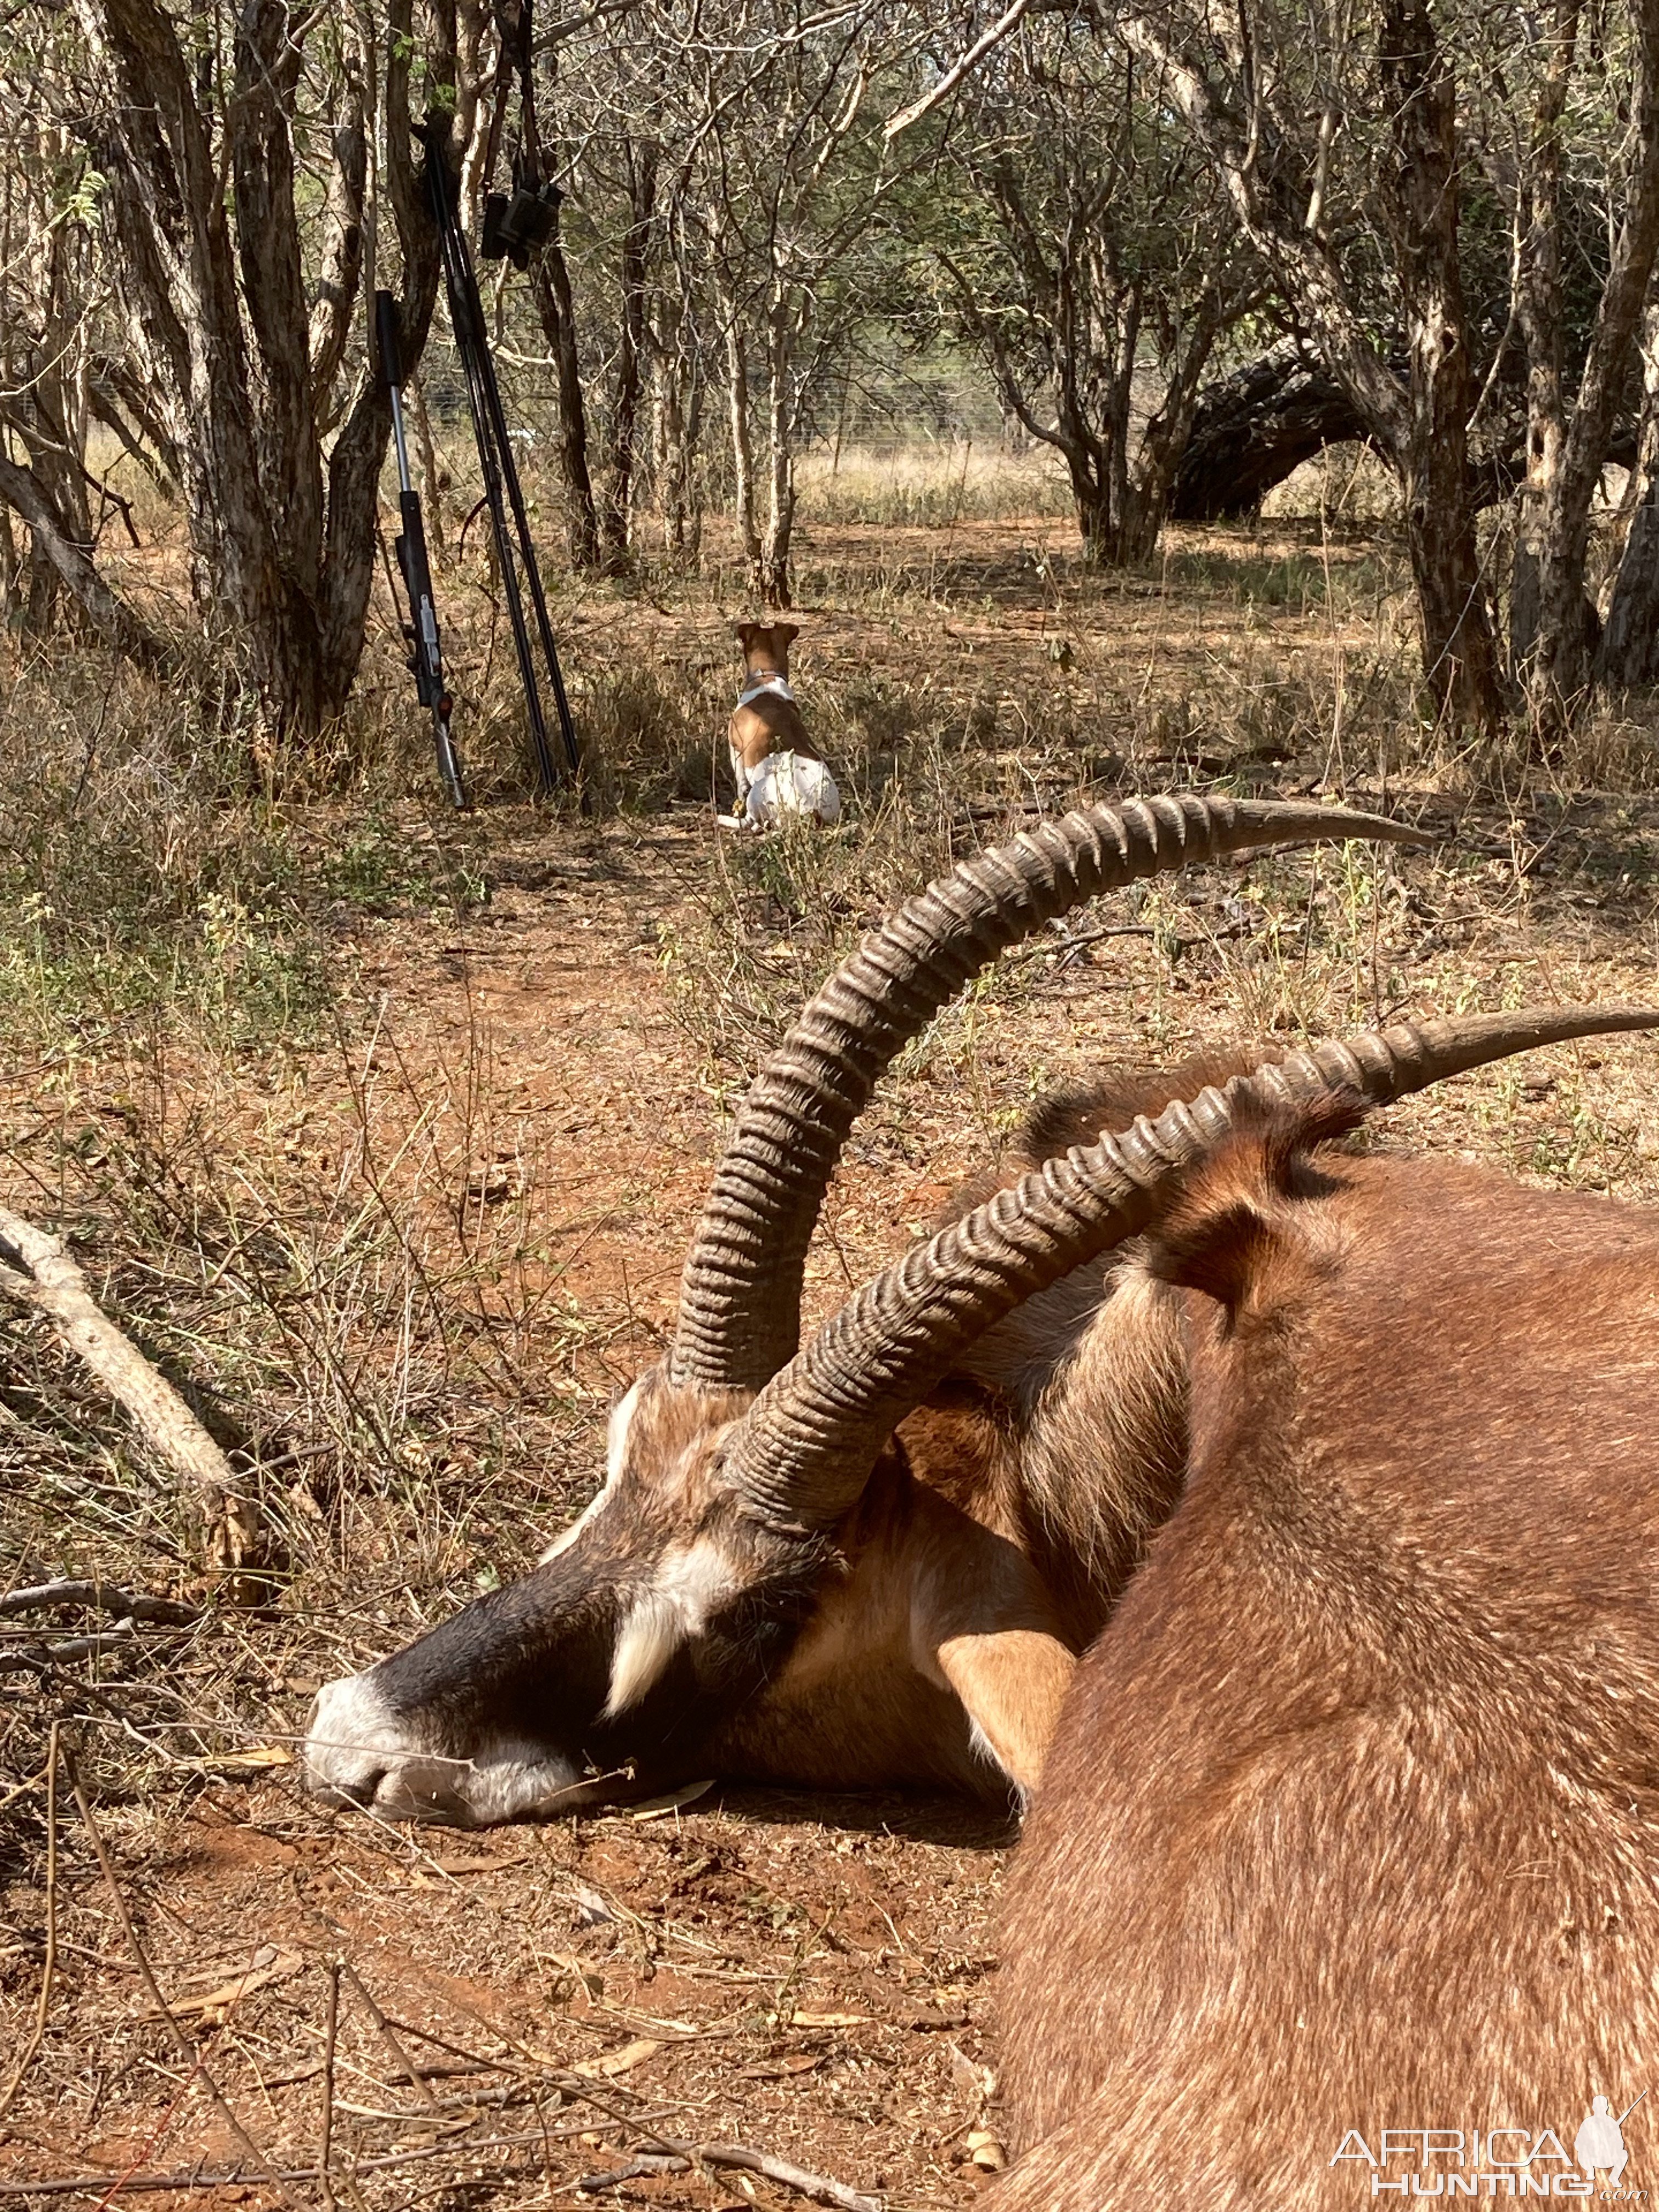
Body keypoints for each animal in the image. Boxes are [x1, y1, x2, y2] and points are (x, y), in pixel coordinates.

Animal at [725, 614, 845, 832]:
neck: (767, 677)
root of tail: (812, 810)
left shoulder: (736, 750)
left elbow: (740, 784)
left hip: (757, 792)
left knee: (753, 822)